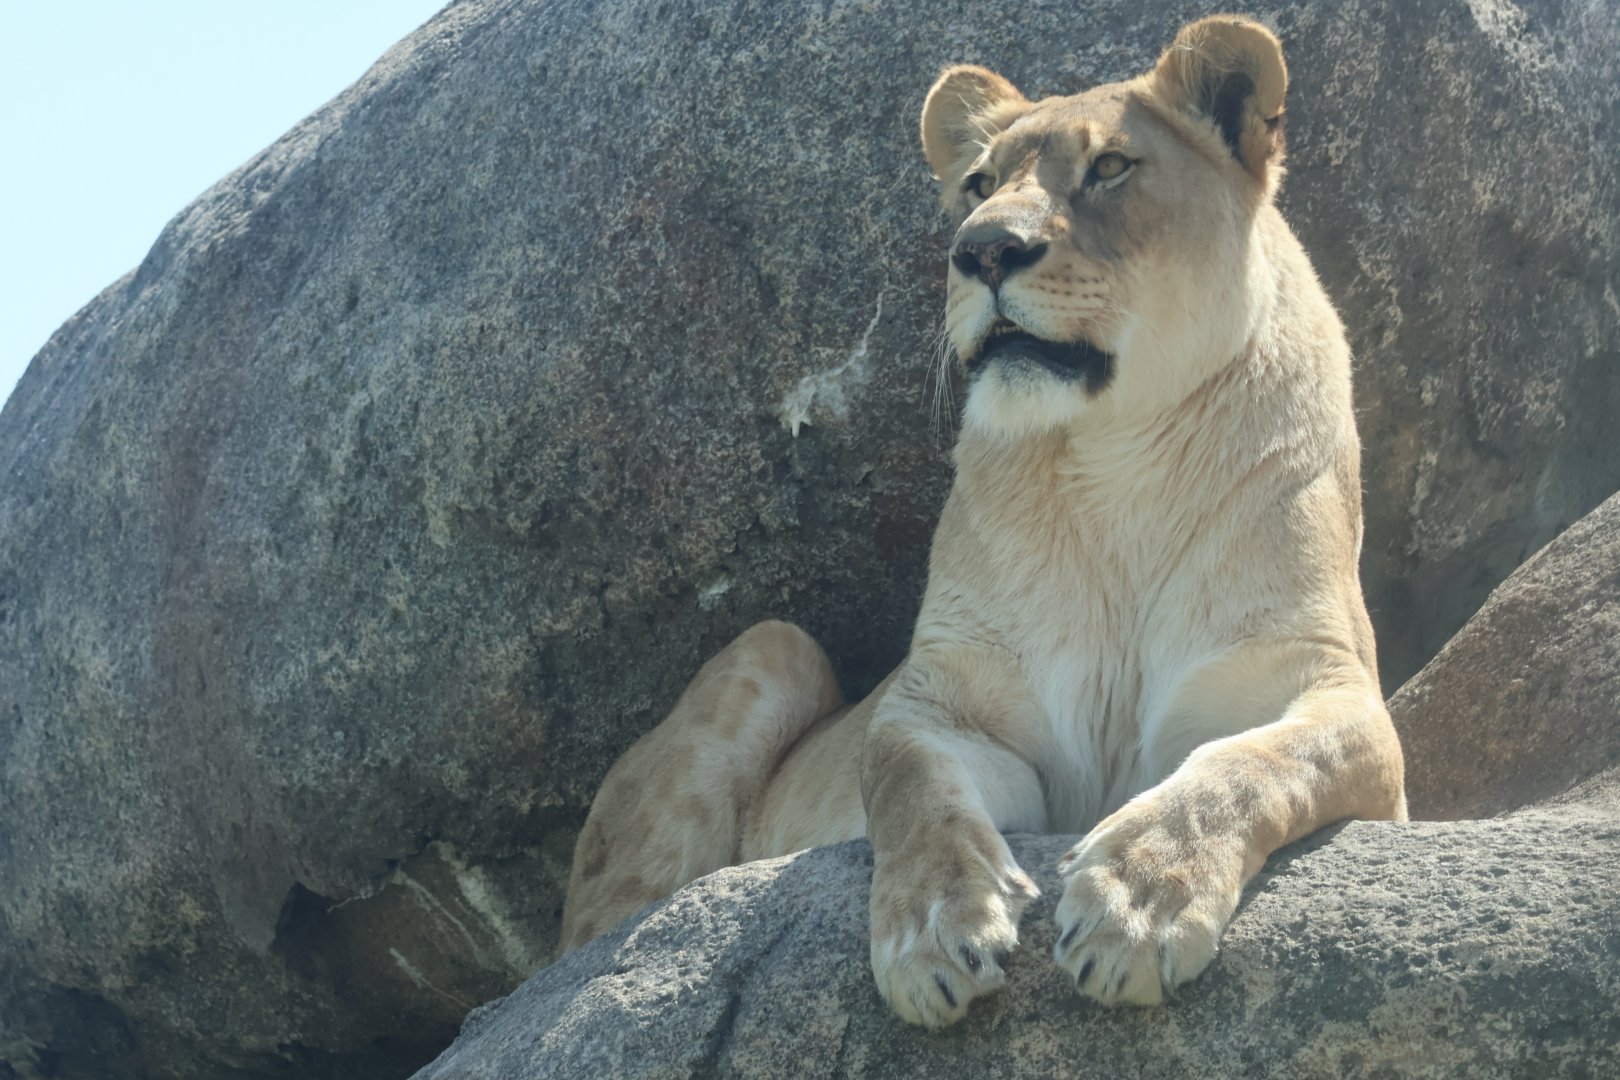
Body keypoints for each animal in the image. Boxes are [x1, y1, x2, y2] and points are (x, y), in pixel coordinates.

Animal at [557, 14, 1407, 1029]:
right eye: (977, 185)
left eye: (1110, 167)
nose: (983, 251)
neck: (1115, 464)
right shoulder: (949, 705)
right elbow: (909, 786)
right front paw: (935, 931)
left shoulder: (1327, 688)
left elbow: (1253, 765)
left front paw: (1139, 898)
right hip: (774, 646)